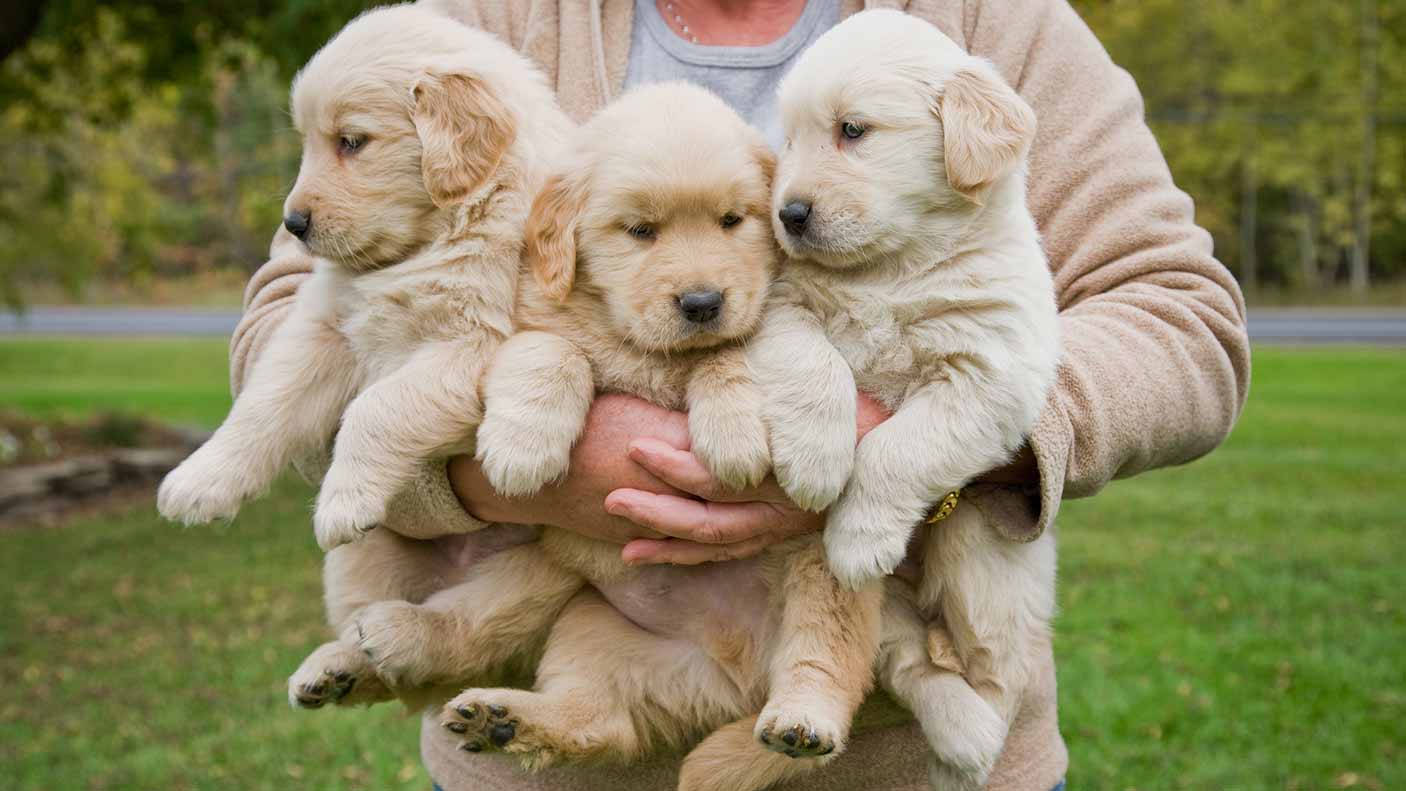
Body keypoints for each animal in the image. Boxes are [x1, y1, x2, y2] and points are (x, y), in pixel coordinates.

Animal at [149, 4, 570, 705]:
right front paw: (200, 479)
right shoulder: (324, 329)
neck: (431, 238)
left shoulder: (470, 347)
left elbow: (377, 407)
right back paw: (336, 670)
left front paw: (343, 497)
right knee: (384, 660)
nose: (293, 224)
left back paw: (403, 637)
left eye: (352, 142)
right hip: (362, 561)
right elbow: (265, 403)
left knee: (466, 636)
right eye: (310, 143)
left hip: (544, 570)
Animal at [404, 82, 877, 791]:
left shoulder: (755, 322)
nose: (703, 302)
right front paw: (521, 448)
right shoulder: (529, 320)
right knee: (598, 719)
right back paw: (503, 718)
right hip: (588, 619)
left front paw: (732, 429)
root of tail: (736, 673)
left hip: (826, 567)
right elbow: (551, 351)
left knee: (825, 664)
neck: (644, 347)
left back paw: (801, 721)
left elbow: (727, 355)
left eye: (732, 221)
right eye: (640, 232)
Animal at [753, 10, 1057, 791]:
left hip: (983, 564)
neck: (892, 268)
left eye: (853, 130)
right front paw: (817, 461)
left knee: (997, 673)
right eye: (787, 139)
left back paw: (974, 747)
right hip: (863, 600)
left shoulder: (988, 374)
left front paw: (861, 534)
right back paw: (956, 729)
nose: (788, 214)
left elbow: (898, 448)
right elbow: (814, 364)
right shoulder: (780, 306)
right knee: (908, 659)